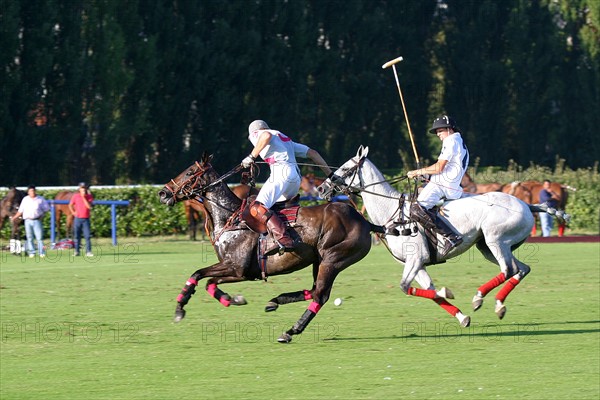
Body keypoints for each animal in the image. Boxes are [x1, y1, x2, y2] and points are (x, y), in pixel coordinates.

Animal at [159, 155, 376, 342]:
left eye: (190, 172)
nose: (163, 193)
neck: (230, 218)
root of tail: (365, 222)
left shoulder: (237, 268)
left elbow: (197, 274)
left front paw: (180, 309)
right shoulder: (237, 271)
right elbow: (208, 281)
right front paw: (233, 299)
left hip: (333, 259)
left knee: (320, 295)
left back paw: (291, 330)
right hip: (319, 260)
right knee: (315, 290)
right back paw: (276, 301)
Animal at [318, 146, 568, 324]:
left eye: (345, 168)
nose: (321, 188)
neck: (391, 212)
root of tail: (527, 204)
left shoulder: (415, 259)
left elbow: (405, 287)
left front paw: (448, 292)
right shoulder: (417, 264)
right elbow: (429, 290)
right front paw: (461, 316)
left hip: (496, 240)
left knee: (509, 269)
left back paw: (478, 297)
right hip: (487, 246)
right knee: (521, 269)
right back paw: (498, 305)